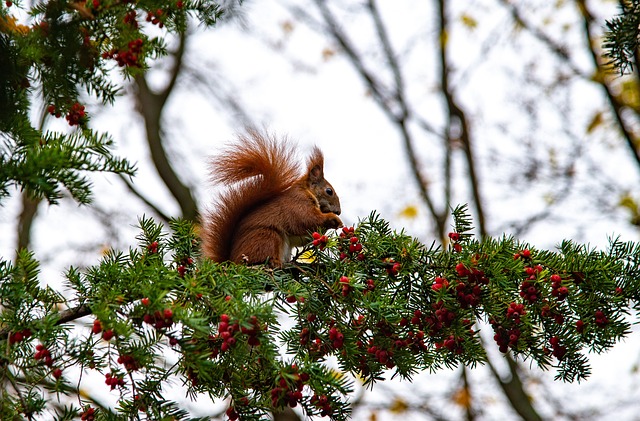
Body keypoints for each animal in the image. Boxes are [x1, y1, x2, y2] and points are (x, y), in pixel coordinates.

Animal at [204, 130, 344, 266]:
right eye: (329, 191)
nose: (338, 211)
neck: (307, 191)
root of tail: (231, 261)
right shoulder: (297, 203)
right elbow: (307, 219)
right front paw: (333, 219)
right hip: (268, 237)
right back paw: (274, 262)